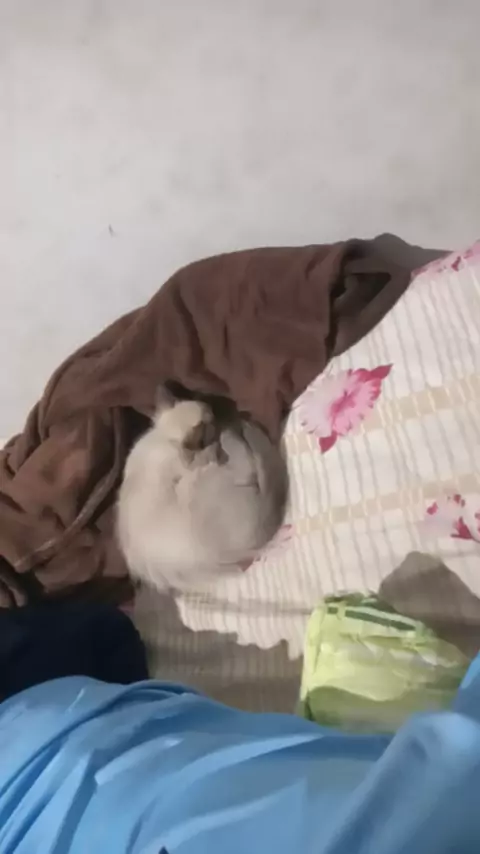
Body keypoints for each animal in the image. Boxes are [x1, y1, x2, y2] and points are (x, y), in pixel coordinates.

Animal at [116, 386, 288, 592]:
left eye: (211, 412)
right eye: (210, 422)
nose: (217, 417)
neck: (167, 439)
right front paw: (226, 432)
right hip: (198, 481)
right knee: (246, 466)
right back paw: (232, 432)